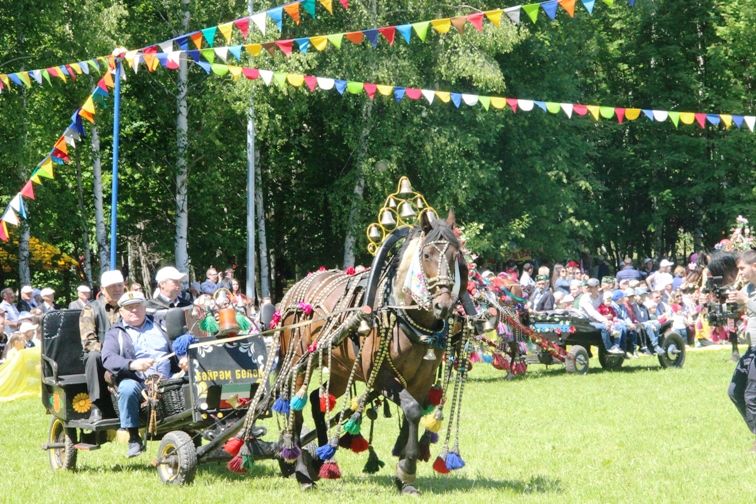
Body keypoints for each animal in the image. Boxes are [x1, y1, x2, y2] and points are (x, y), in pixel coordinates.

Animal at [276, 208, 464, 492]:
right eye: (427, 255)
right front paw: (407, 466)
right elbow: (412, 409)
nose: (443, 306)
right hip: (300, 361)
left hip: (340, 368)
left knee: (317, 400)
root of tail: (293, 289)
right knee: (295, 412)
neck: (403, 313)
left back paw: (320, 458)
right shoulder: (381, 375)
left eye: (455, 255)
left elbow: (414, 414)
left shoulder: (423, 378)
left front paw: (403, 474)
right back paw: (301, 471)